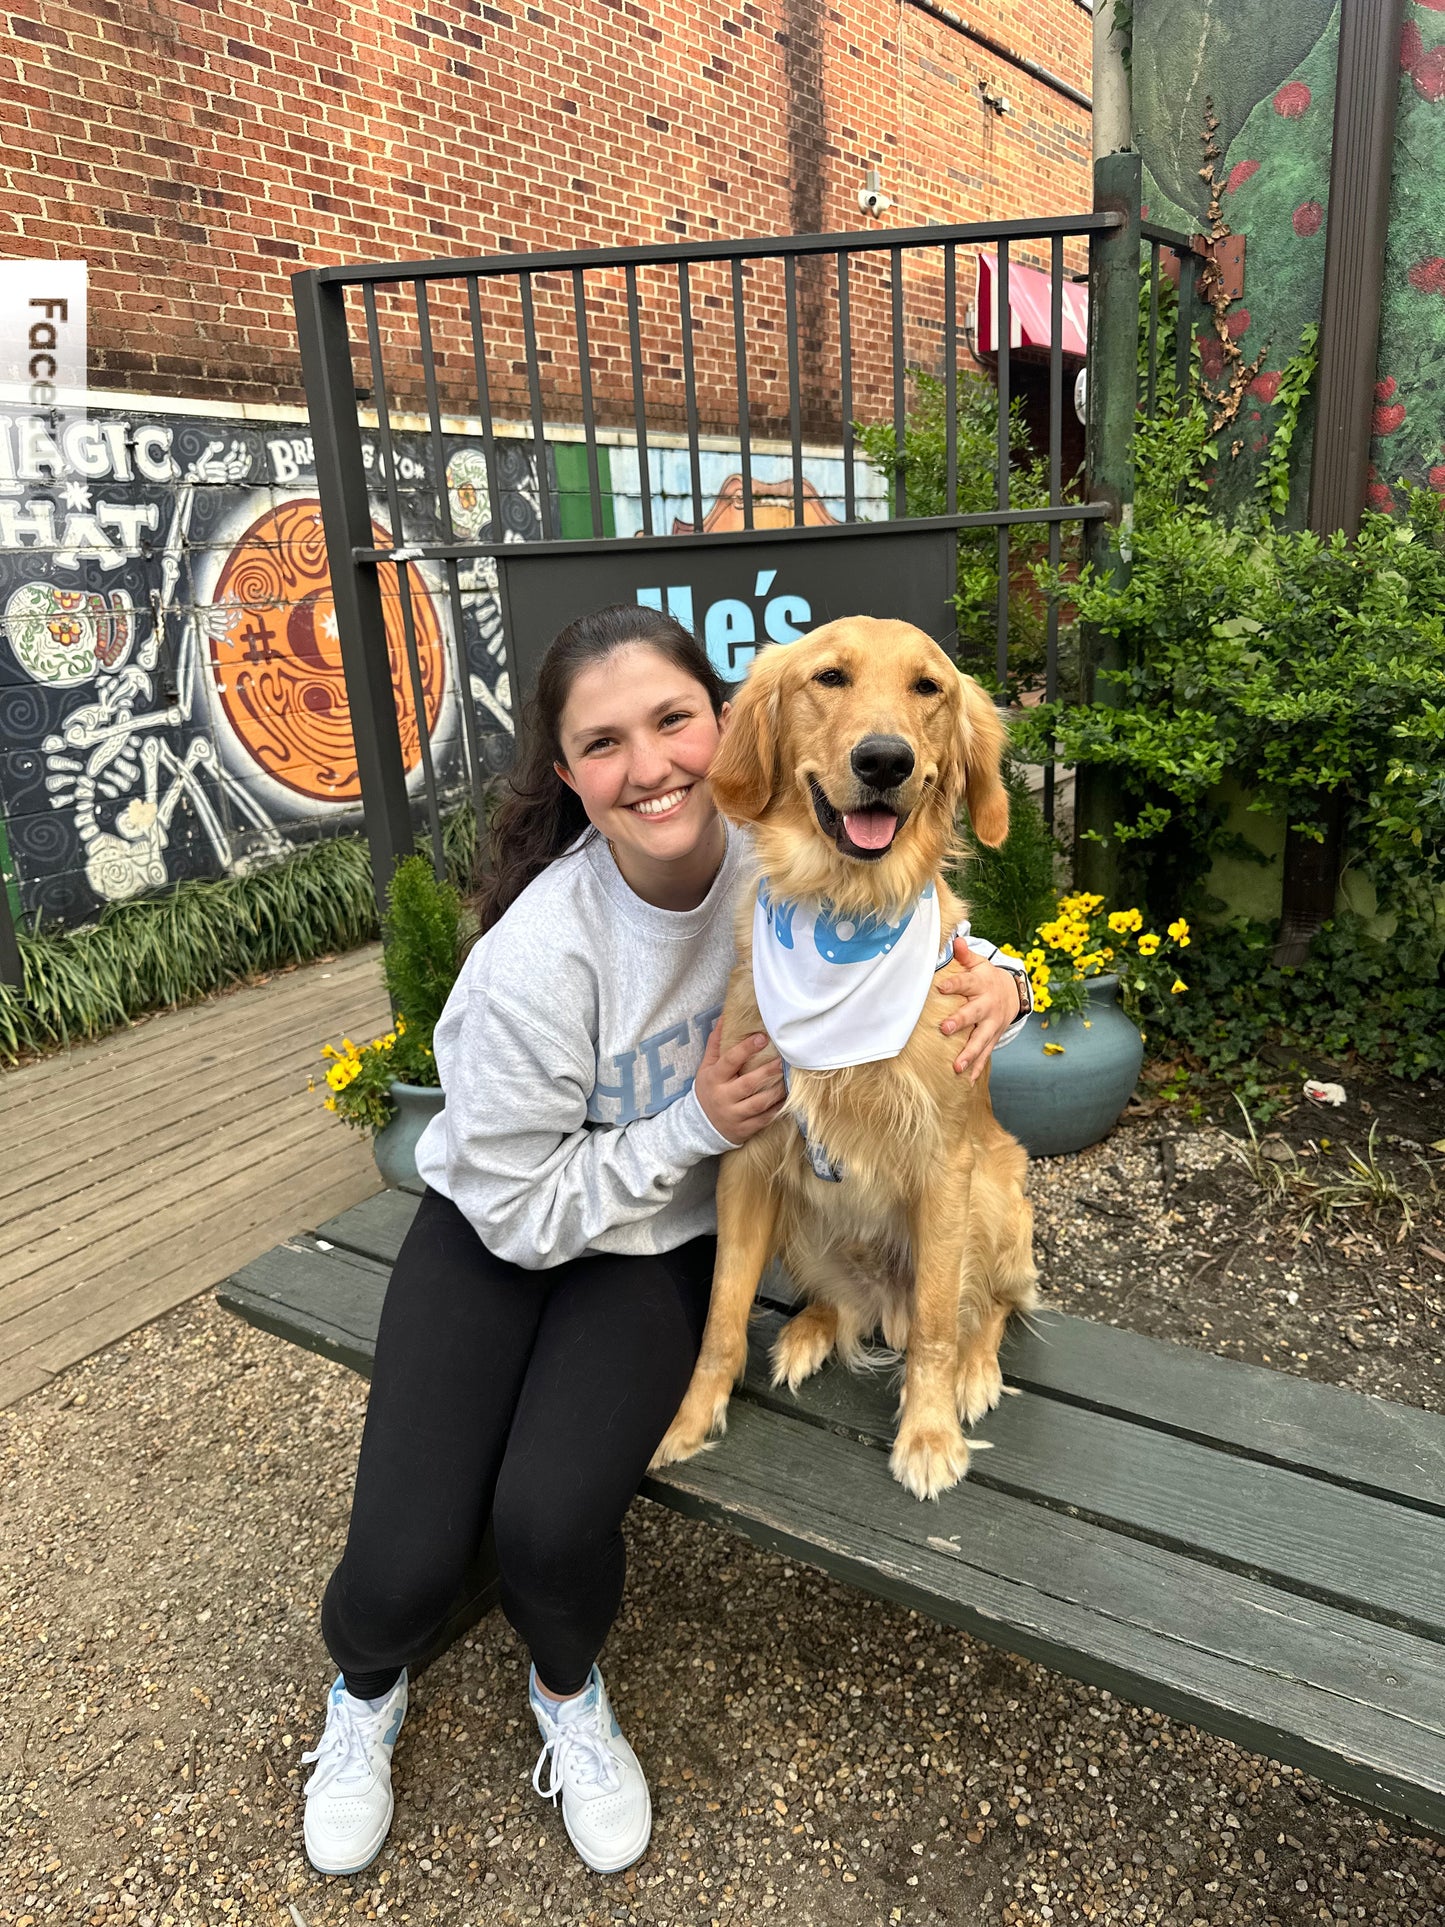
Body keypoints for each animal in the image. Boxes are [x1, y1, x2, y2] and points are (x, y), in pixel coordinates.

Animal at [651, 624, 1032, 1495]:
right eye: (829, 677)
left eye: (928, 688)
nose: (883, 760)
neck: (845, 909)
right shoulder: (748, 1154)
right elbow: (723, 1314)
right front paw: (688, 1420)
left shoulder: (945, 1166)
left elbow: (936, 1319)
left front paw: (927, 1433)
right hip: (804, 1212)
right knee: (840, 1302)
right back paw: (810, 1331)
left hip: (999, 1190)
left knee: (982, 1305)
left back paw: (975, 1370)